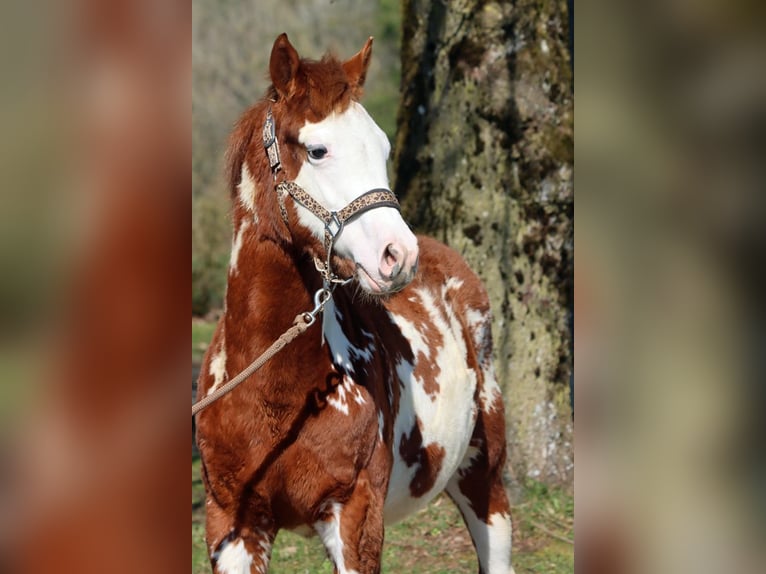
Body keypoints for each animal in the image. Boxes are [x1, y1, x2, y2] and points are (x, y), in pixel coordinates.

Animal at [195, 33, 515, 574]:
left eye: (383, 147)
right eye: (318, 150)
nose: (398, 255)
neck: (274, 393)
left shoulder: (356, 517)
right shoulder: (232, 525)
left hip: (484, 478)